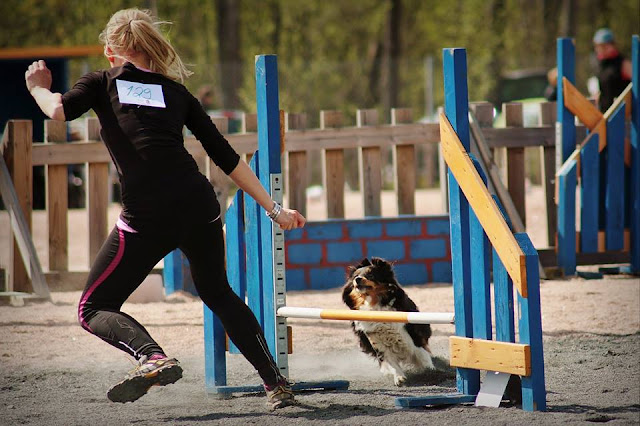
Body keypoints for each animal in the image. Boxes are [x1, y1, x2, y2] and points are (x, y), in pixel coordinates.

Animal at [342, 257, 434, 386]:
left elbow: (421, 354)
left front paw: (430, 370)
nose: (357, 279)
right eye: (355, 276)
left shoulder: (411, 335)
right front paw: (399, 378)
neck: (373, 303)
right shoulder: (376, 340)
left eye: (371, 274)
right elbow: (390, 361)